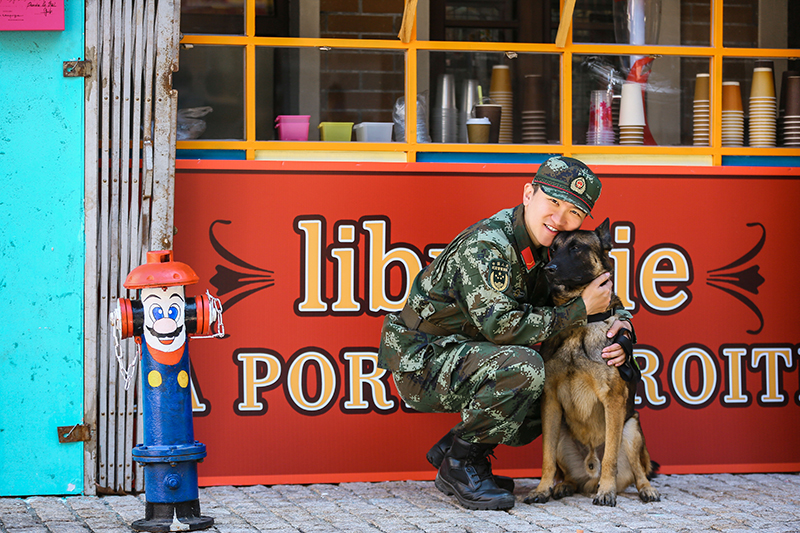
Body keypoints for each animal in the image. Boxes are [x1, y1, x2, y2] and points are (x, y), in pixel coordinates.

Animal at [520, 217, 660, 508]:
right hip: (562, 434)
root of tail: (589, 473)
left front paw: (607, 492)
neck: (579, 325)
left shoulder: (613, 401)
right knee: (568, 474)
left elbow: (610, 459)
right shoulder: (550, 402)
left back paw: (644, 489)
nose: (548, 269)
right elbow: (546, 458)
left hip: (631, 429)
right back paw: (563, 486)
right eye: (553, 250)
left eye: (576, 248)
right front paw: (542, 489)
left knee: (639, 470)